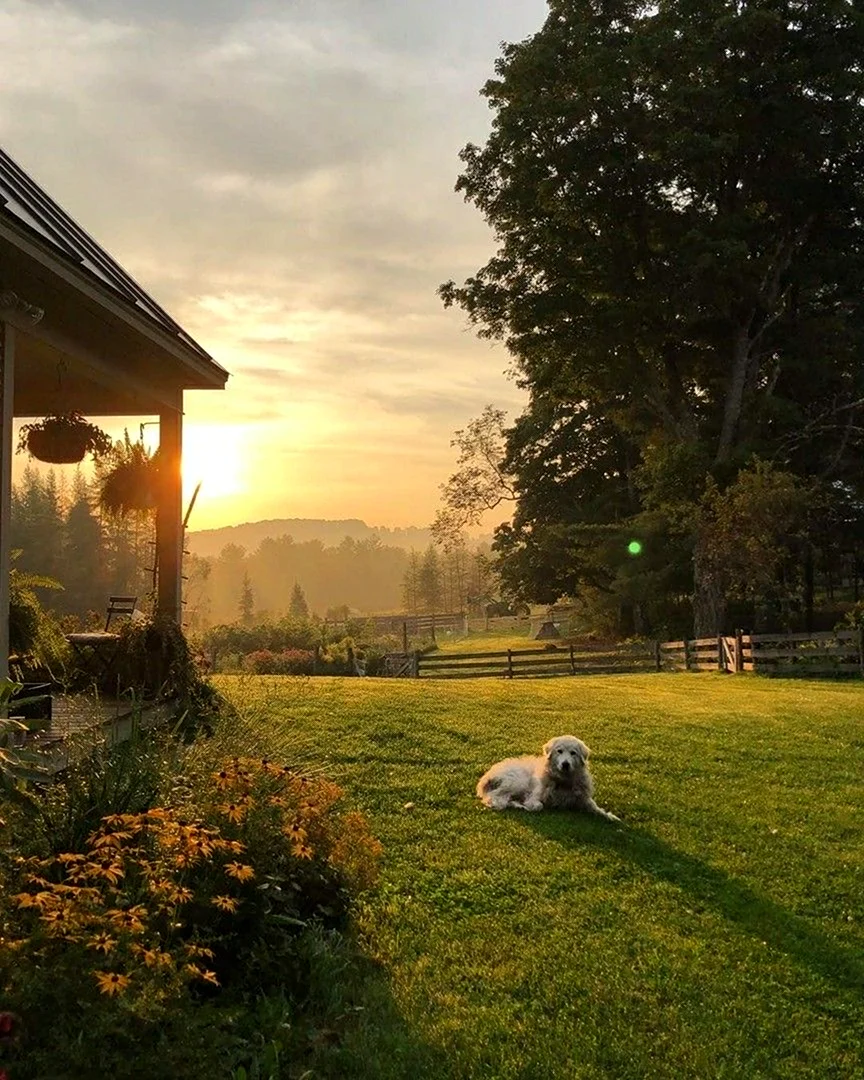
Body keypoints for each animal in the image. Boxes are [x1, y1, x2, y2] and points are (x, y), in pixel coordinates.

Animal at [475, 734, 617, 816]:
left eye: (573, 753)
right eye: (559, 751)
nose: (565, 764)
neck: (563, 781)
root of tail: (486, 776)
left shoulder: (583, 798)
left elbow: (596, 808)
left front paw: (611, 817)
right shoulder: (535, 796)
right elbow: (538, 805)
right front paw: (530, 806)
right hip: (517, 782)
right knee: (494, 797)